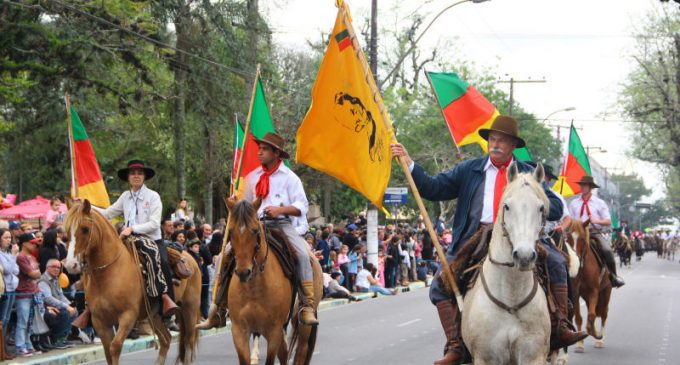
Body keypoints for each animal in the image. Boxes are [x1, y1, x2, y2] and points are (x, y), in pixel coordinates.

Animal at [62, 199, 202, 364]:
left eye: (84, 229)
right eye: (66, 232)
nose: (70, 264)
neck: (109, 273)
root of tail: (190, 257)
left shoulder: (128, 316)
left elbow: (115, 347)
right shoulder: (100, 321)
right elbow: (108, 352)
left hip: (189, 308)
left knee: (188, 340)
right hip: (154, 315)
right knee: (166, 340)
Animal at [227, 199, 322, 364]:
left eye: (255, 231)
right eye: (231, 231)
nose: (243, 272)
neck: (253, 289)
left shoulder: (274, 330)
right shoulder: (239, 330)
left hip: (302, 324)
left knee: (301, 350)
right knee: (284, 353)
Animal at [462, 163, 552, 364]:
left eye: (541, 208)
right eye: (507, 206)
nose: (524, 256)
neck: (511, 299)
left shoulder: (533, 356)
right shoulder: (485, 357)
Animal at [564, 218, 612, 352]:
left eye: (582, 239)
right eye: (568, 238)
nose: (574, 260)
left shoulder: (594, 291)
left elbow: (591, 315)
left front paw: (594, 333)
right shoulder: (575, 294)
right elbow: (579, 317)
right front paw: (580, 343)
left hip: (606, 291)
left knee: (604, 313)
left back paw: (600, 339)